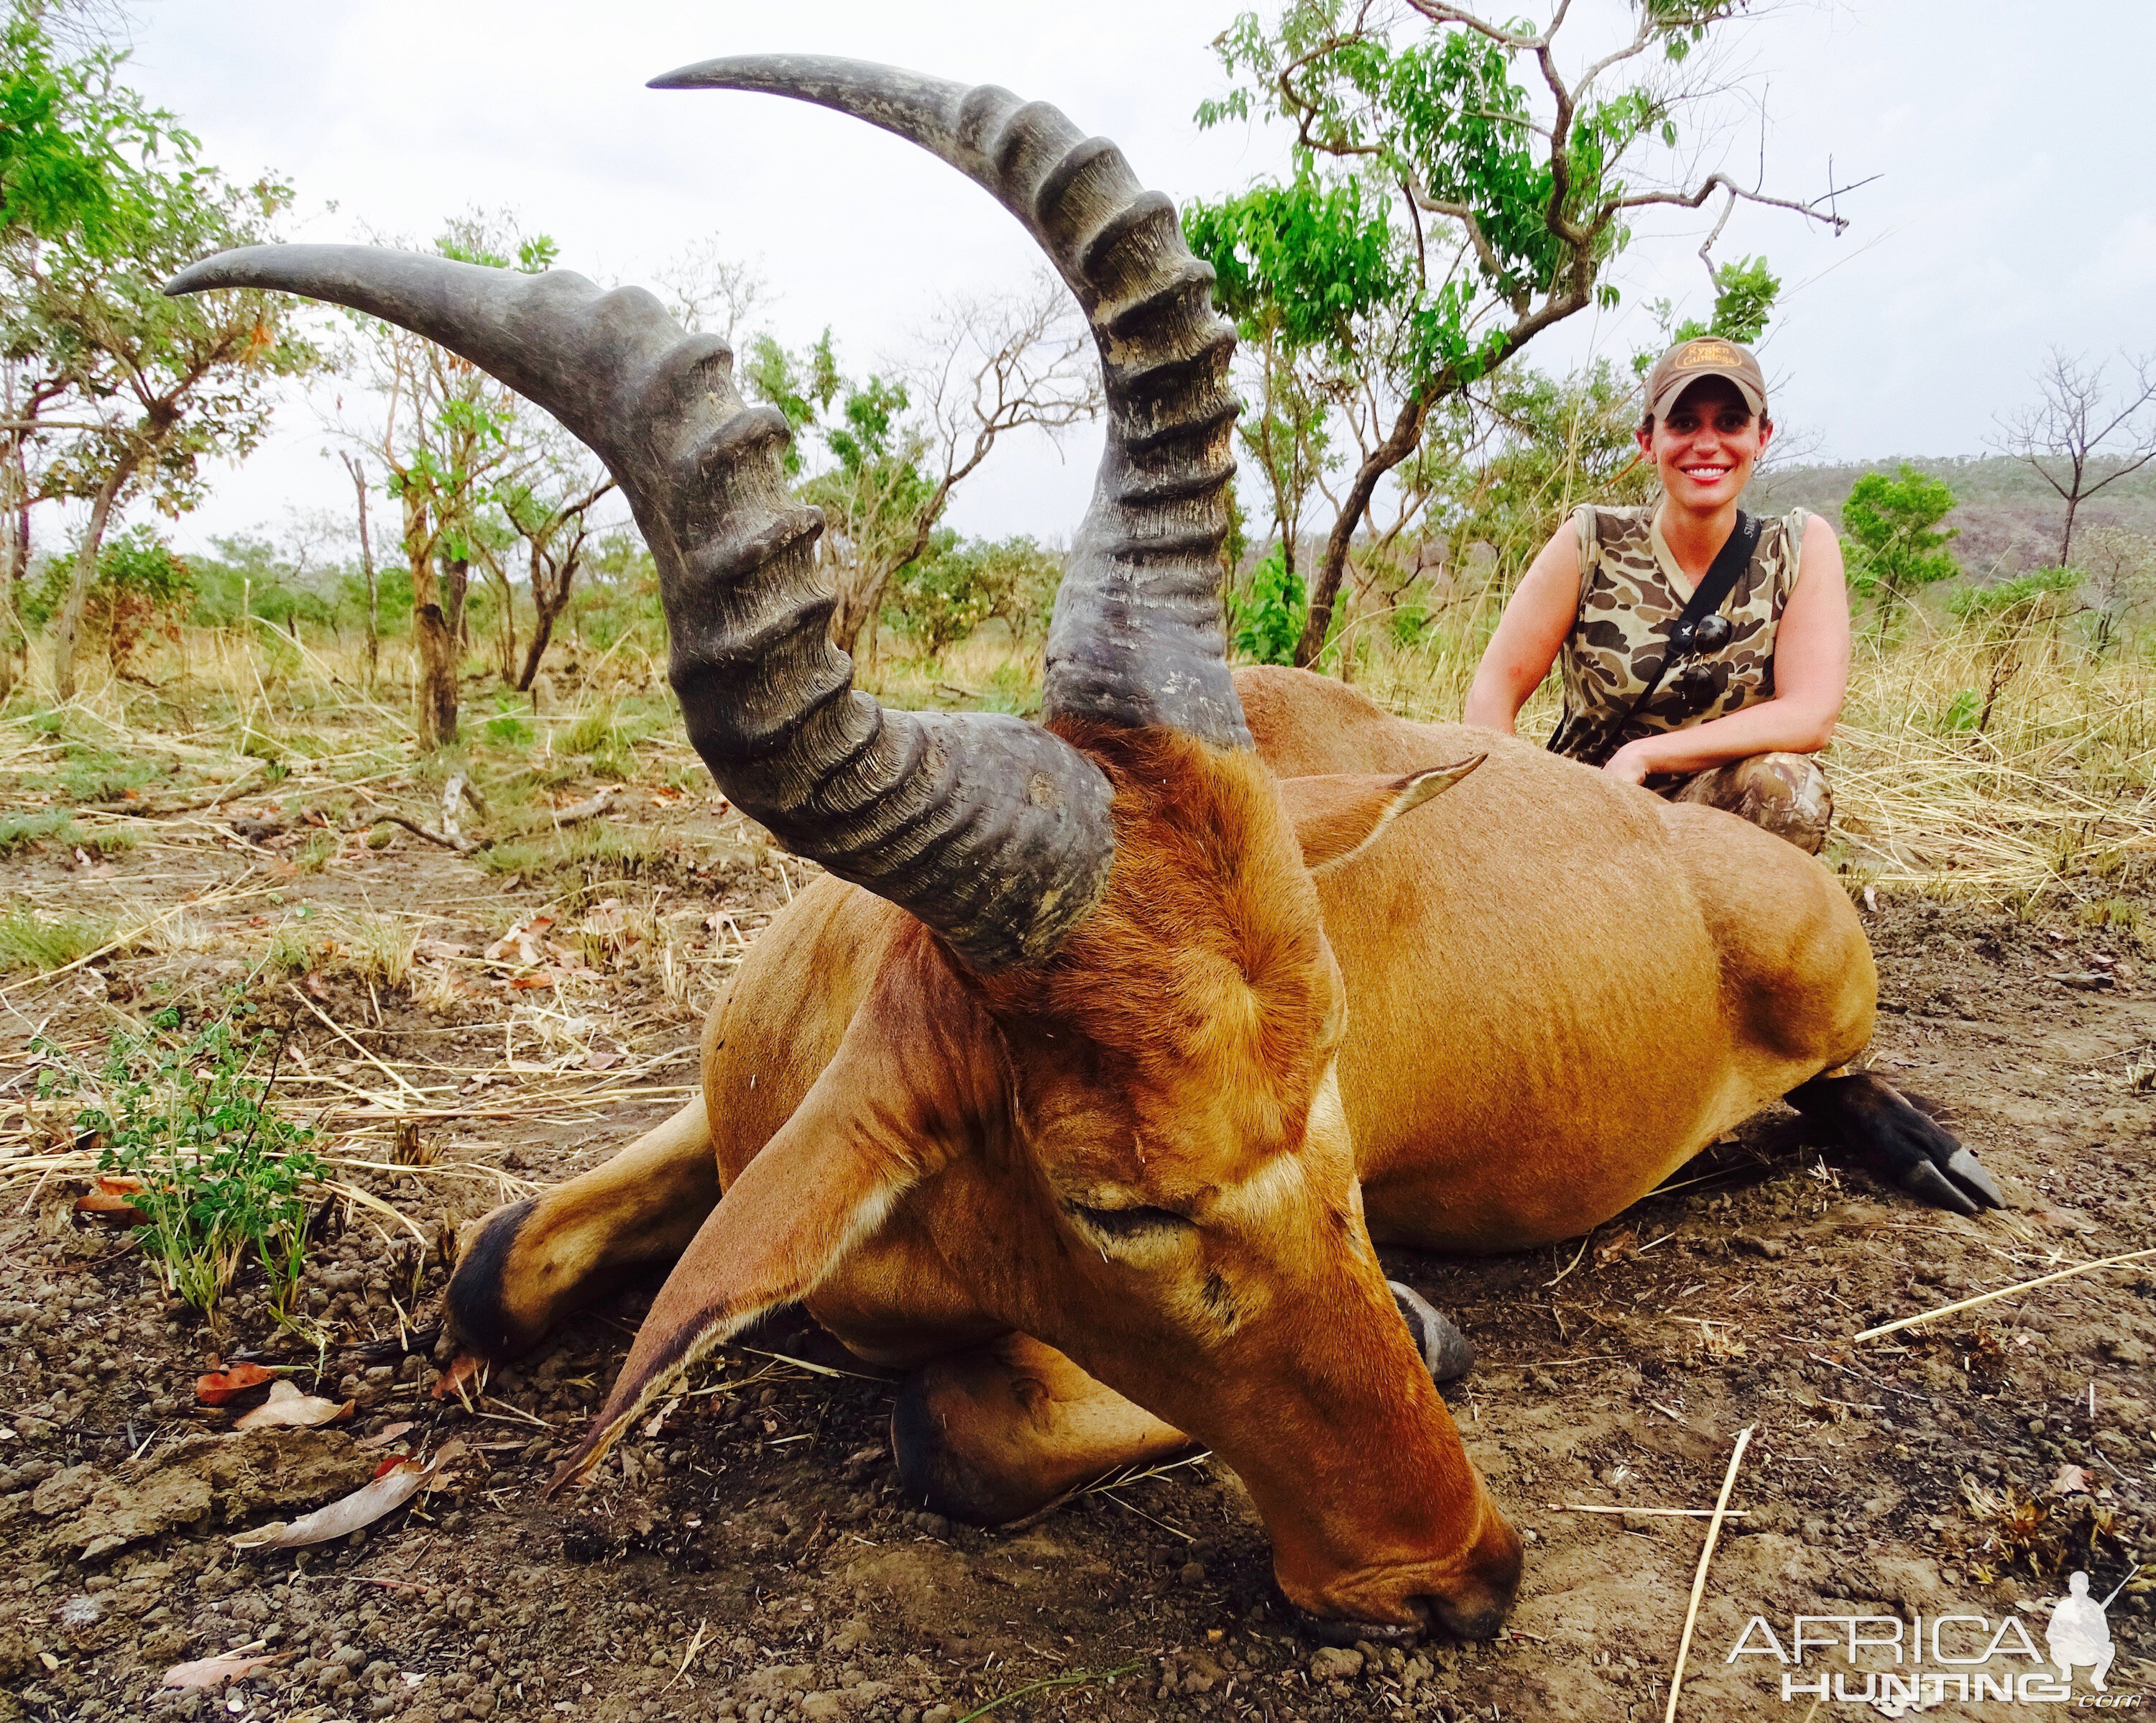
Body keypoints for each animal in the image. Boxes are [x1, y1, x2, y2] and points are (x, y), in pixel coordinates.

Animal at [172, 50, 2001, 1648]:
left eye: (1334, 1106)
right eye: (1111, 1202)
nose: (1460, 1574)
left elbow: (946, 1431)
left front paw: (1425, 1326)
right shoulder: (732, 1122)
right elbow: (495, 1262)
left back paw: (1914, 1148)